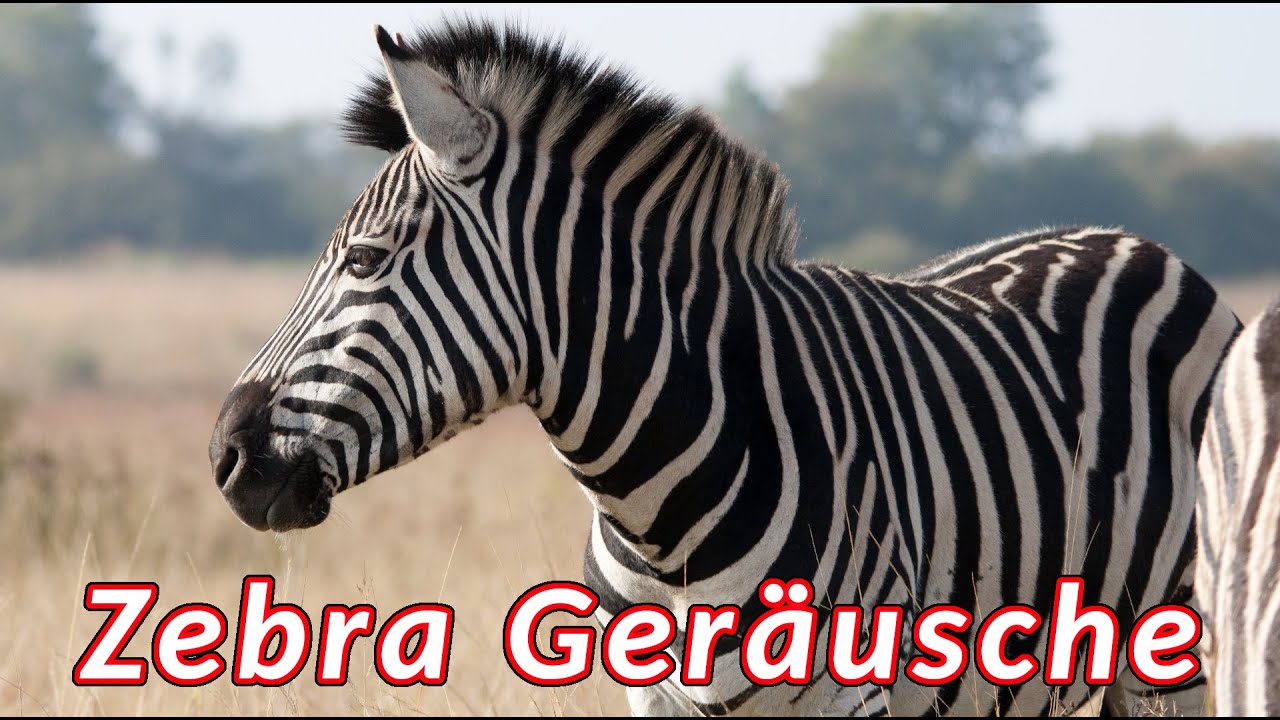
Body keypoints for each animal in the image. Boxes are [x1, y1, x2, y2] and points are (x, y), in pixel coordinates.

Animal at [207, 20, 1242, 716]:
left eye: (364, 261)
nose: (225, 455)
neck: (660, 505)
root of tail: (1130, 240)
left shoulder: (857, 692)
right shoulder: (655, 694)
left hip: (1175, 648)